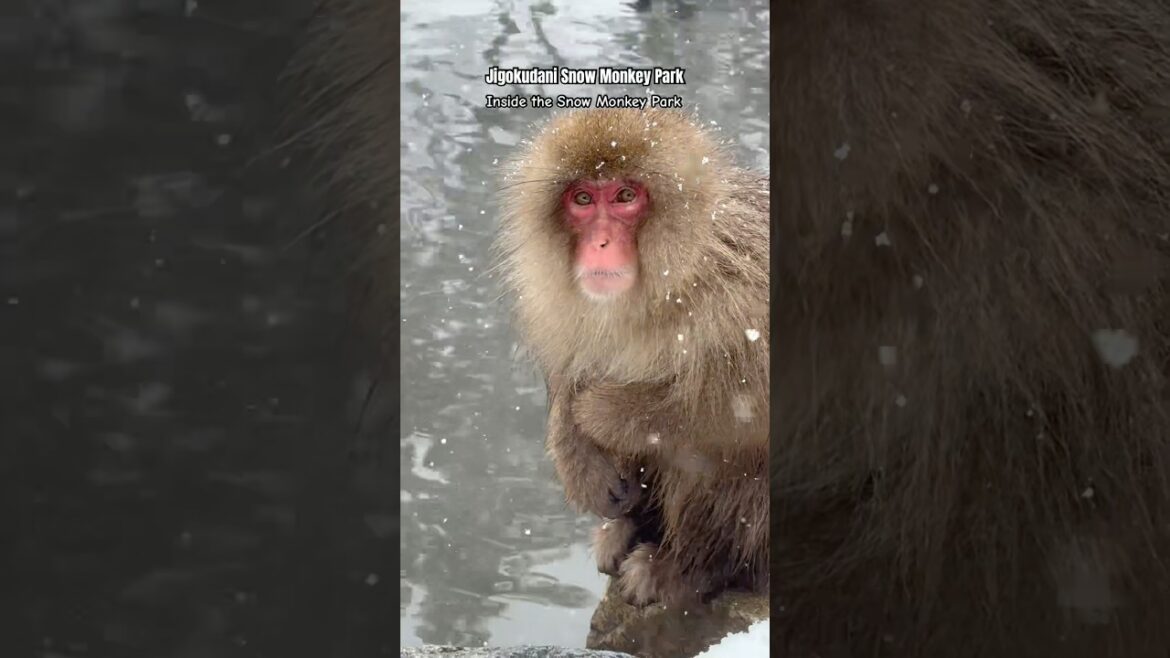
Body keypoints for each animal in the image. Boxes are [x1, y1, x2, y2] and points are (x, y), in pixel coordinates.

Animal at [495, 108, 770, 607]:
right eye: (583, 199)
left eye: (625, 196)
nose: (601, 243)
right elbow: (570, 366)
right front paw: (575, 447)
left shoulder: (746, 294)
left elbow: (737, 409)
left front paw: (603, 412)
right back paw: (627, 530)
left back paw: (690, 569)